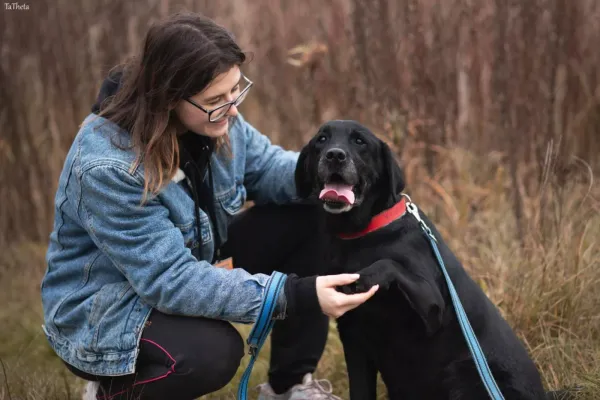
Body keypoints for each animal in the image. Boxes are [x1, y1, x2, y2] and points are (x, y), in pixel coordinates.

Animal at [296, 121, 572, 400]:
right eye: (322, 139)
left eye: (360, 141)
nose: (335, 155)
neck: (364, 233)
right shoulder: (354, 341)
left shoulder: (432, 308)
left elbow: (389, 264)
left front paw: (365, 276)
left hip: (462, 373)